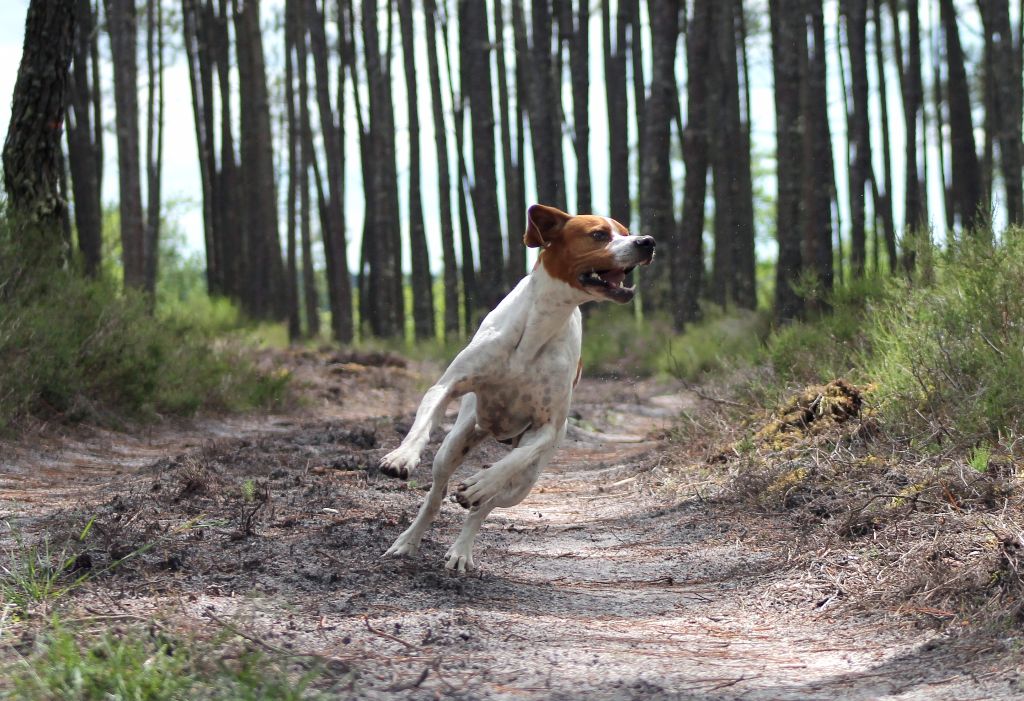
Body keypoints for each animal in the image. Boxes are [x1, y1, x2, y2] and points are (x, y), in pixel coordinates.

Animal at [378, 202, 655, 568]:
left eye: (626, 231)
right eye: (599, 234)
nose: (647, 241)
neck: (540, 325)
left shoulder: (547, 428)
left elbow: (510, 462)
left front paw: (481, 482)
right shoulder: (448, 386)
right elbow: (423, 422)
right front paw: (402, 456)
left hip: (525, 482)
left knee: (487, 504)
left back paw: (463, 545)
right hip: (455, 443)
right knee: (436, 494)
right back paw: (408, 541)